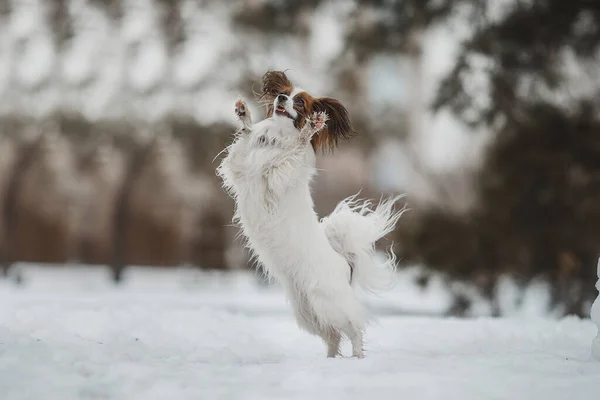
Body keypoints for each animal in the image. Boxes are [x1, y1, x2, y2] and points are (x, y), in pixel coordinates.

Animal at [216, 70, 404, 358]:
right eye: (284, 94)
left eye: (300, 103)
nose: (282, 99)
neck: (277, 140)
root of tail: (345, 262)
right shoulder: (239, 168)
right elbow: (245, 140)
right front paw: (244, 117)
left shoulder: (279, 178)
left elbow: (293, 153)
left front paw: (309, 130)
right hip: (307, 311)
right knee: (333, 336)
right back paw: (331, 360)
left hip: (326, 302)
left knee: (354, 327)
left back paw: (358, 357)